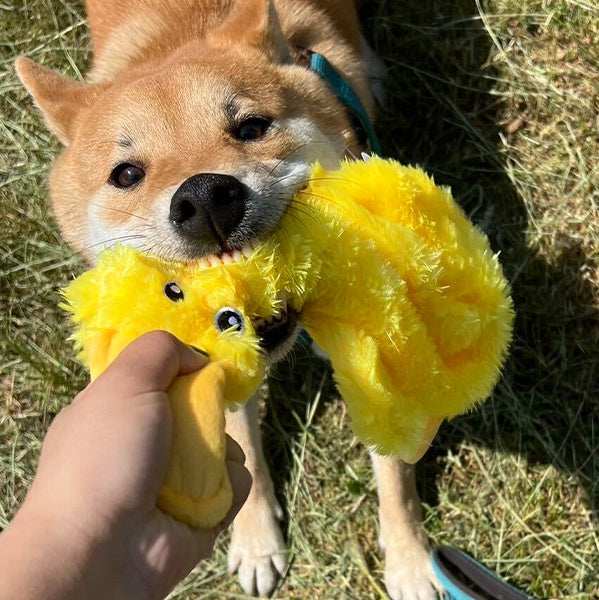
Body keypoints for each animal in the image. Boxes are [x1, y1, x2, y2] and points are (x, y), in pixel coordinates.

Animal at [16, 2, 440, 596]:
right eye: (127, 174)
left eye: (252, 128)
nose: (204, 197)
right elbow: (238, 441)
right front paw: (256, 539)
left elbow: (395, 473)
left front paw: (410, 561)